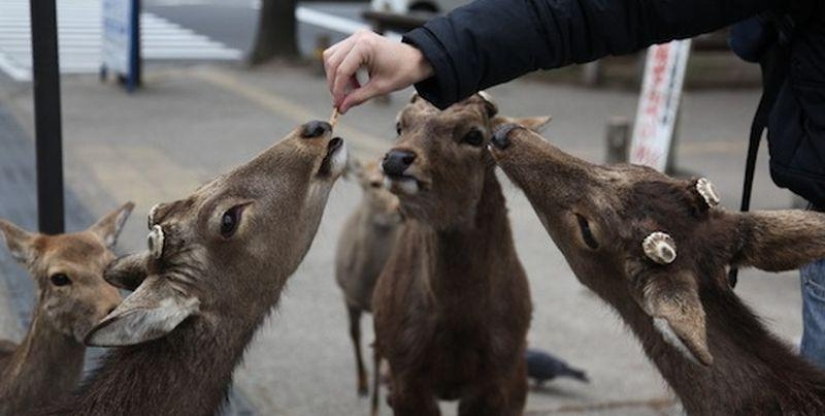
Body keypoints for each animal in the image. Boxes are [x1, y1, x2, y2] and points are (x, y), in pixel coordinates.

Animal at [372, 94, 552, 416]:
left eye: (474, 135)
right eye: (400, 124)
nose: (396, 159)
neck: (458, 321)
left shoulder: (497, 379)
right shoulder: (405, 372)